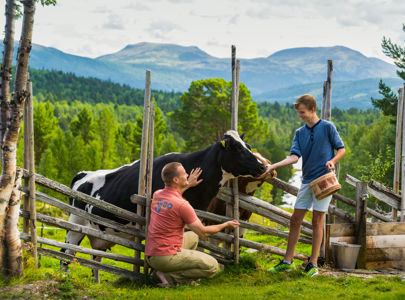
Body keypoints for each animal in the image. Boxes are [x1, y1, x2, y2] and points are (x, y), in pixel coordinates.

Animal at [62, 130, 266, 264]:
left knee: (95, 258)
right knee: (66, 252)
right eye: (237, 148)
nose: (262, 166)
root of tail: (82, 173)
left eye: (248, 146)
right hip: (76, 222)